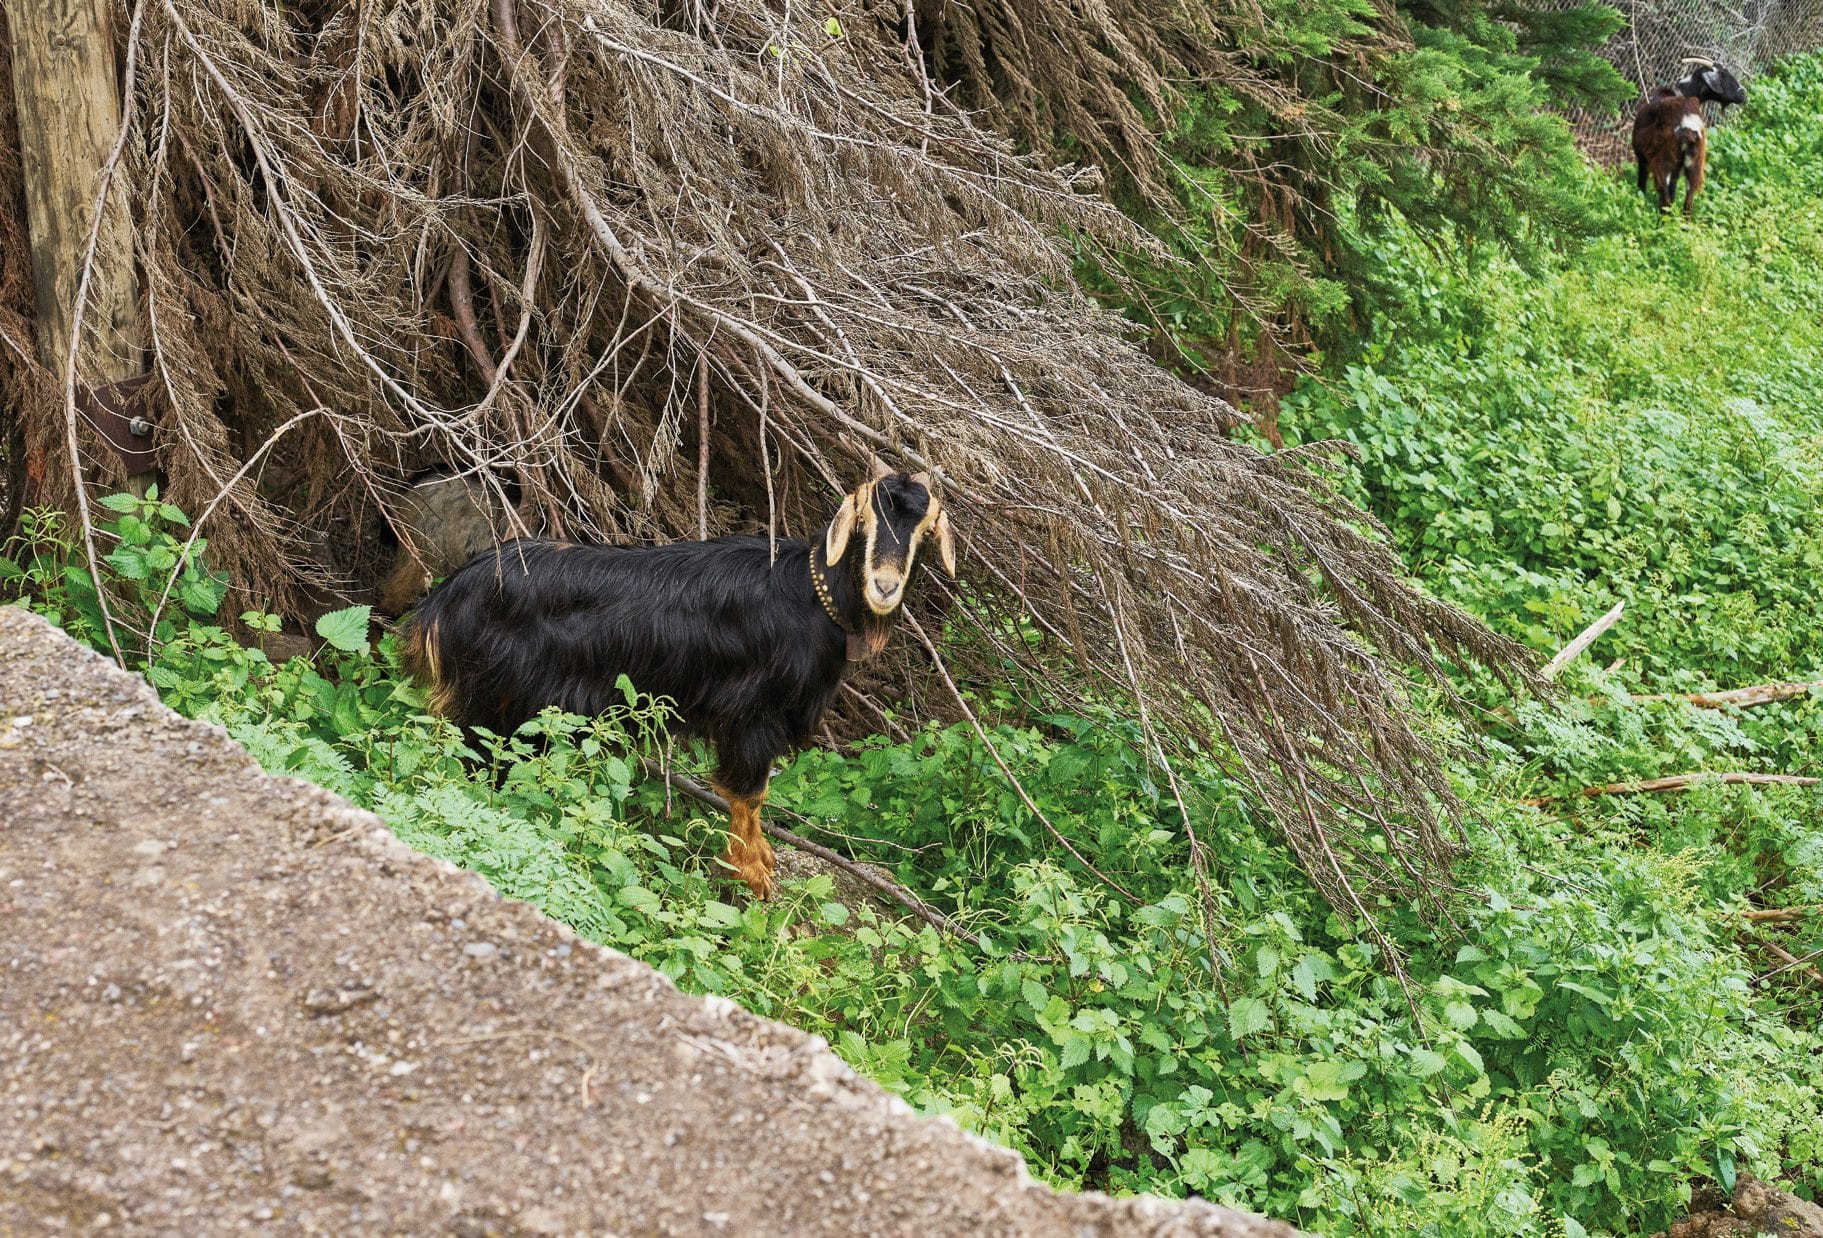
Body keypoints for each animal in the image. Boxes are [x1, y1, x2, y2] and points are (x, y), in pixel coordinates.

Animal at [401, 461, 957, 900]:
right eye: (865, 518)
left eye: (924, 529)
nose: (884, 586)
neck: (812, 595)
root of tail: (442, 604)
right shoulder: (749, 714)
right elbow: (748, 793)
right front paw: (752, 873)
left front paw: (761, 861)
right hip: (495, 706)